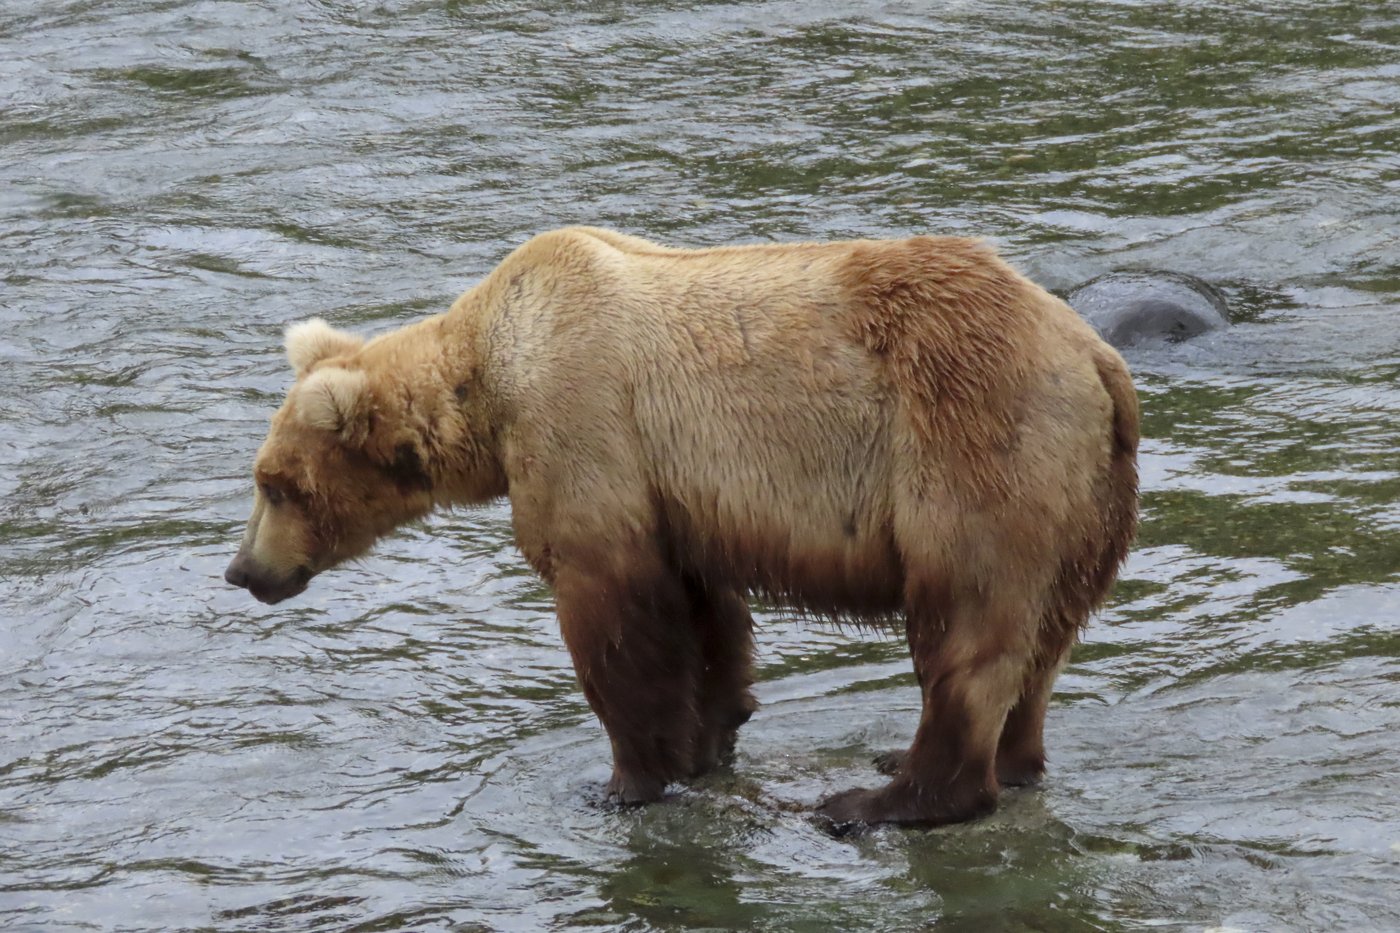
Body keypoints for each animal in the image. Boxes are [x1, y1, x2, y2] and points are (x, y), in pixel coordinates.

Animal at [224, 226, 1139, 830]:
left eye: (275, 484)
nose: (243, 571)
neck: (488, 383)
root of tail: (1098, 357)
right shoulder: (680, 495)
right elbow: (705, 615)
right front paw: (712, 735)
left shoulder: (586, 429)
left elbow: (616, 617)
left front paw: (627, 778)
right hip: (1086, 501)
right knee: (1043, 641)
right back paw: (996, 761)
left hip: (969, 443)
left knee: (965, 624)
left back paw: (881, 798)